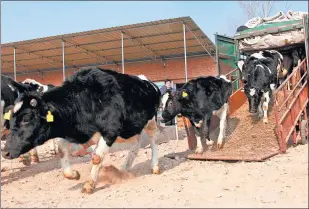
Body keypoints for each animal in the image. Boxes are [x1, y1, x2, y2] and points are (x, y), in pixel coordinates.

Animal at [0, 68, 161, 194]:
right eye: (11, 117)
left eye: (26, 118)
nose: (5, 152)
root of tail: (149, 83)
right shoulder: (69, 130)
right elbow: (62, 151)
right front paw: (73, 174)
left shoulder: (110, 130)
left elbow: (96, 157)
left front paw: (89, 184)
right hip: (131, 128)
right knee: (136, 143)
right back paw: (124, 168)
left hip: (151, 121)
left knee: (153, 141)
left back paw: (154, 166)